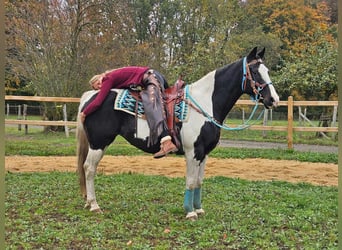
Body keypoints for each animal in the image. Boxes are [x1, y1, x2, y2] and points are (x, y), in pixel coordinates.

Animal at [77, 47, 278, 219]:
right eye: (255, 72)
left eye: (267, 70)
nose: (273, 99)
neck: (205, 103)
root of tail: (90, 97)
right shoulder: (192, 152)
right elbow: (190, 181)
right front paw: (190, 212)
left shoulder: (204, 154)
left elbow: (199, 181)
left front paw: (199, 209)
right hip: (99, 143)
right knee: (89, 168)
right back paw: (94, 205)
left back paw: (88, 203)